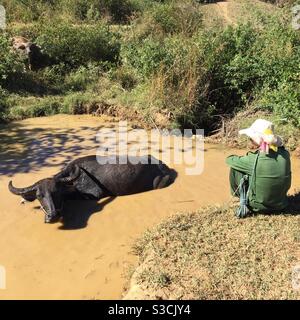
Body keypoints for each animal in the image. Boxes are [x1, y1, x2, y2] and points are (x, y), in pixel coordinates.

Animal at [8, 155, 176, 222]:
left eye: (57, 193)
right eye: (39, 195)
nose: (53, 216)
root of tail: (164, 166)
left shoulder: (92, 194)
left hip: (160, 183)